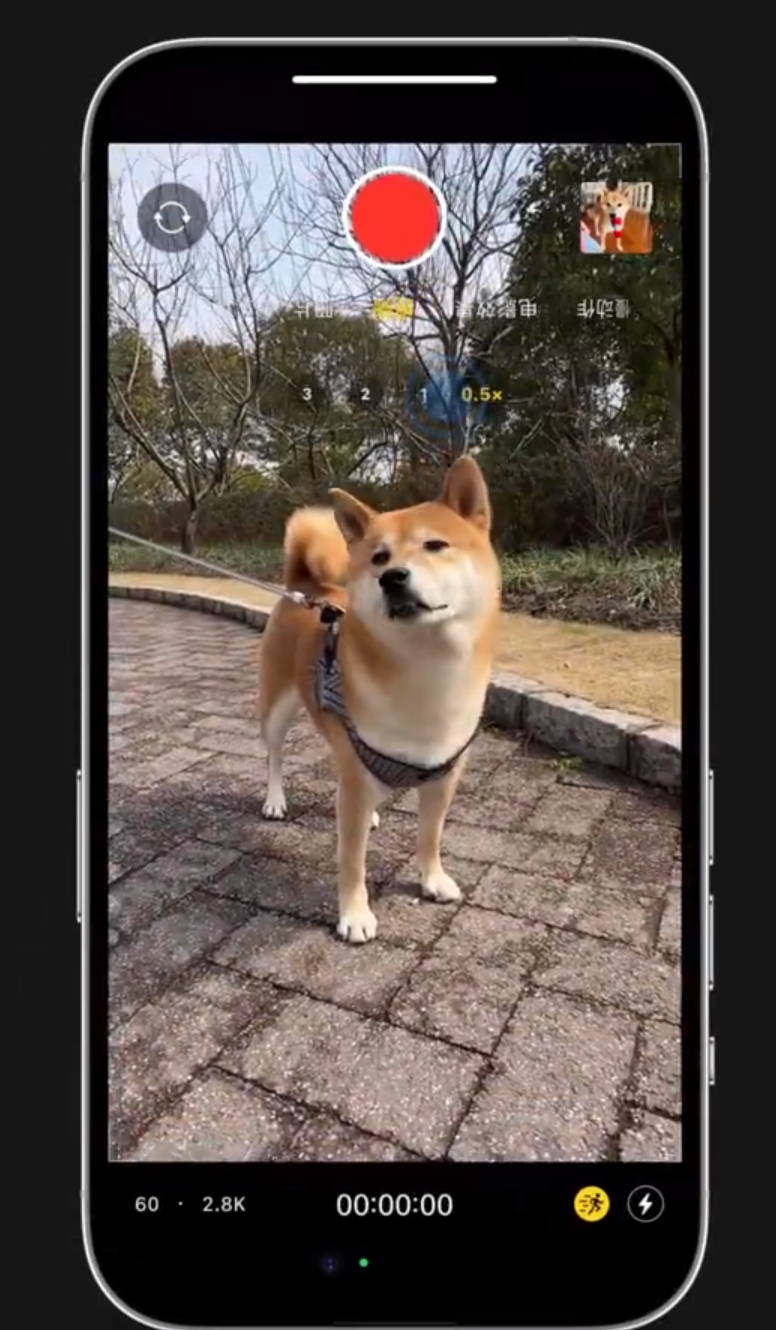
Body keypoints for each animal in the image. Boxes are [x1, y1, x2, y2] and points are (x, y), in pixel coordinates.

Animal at [258, 457, 500, 946]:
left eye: (435, 545)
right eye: (379, 558)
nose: (393, 578)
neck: (427, 674)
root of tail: (305, 586)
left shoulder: (444, 776)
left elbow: (430, 836)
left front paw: (432, 879)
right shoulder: (354, 779)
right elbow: (352, 861)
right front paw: (354, 914)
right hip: (277, 707)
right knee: (275, 755)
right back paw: (275, 799)